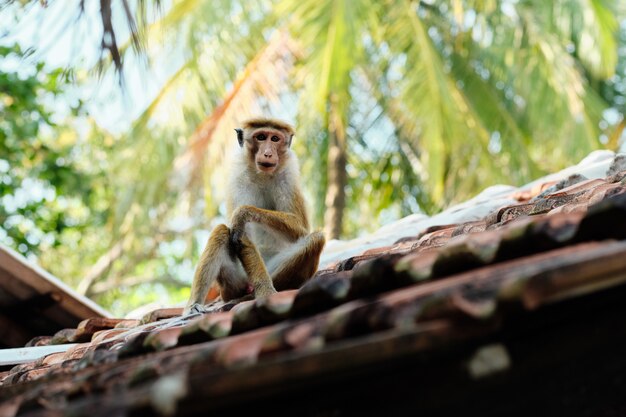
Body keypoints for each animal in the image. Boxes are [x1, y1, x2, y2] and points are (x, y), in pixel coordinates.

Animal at [182, 116, 324, 312]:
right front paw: (265, 291)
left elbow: (300, 228)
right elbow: (242, 233)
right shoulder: (238, 178)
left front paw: (244, 213)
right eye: (261, 137)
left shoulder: (288, 174)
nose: (268, 153)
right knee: (221, 231)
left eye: (275, 139)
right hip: (233, 283)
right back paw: (195, 304)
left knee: (316, 238)